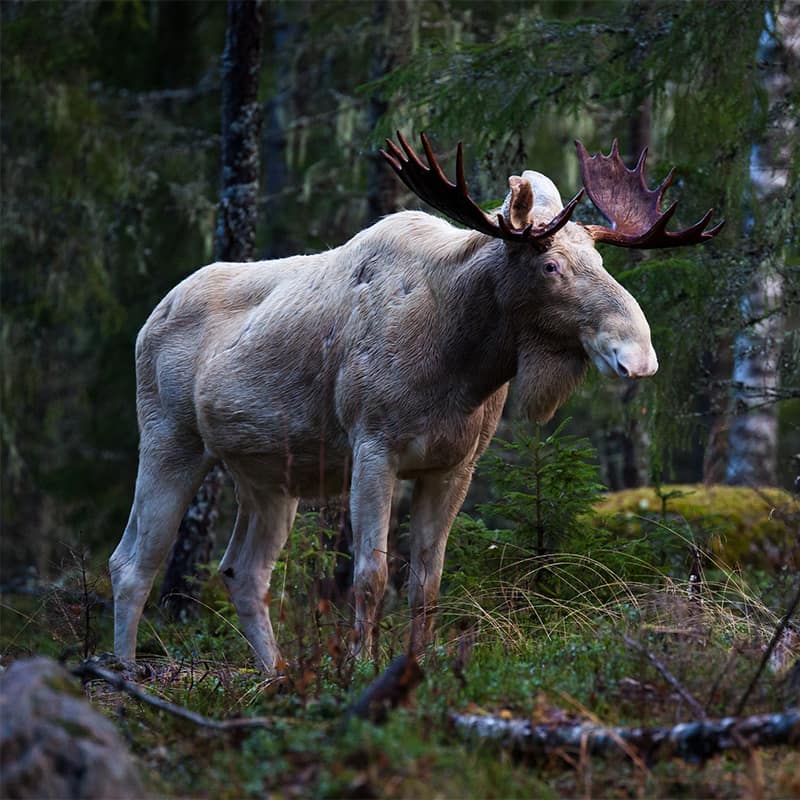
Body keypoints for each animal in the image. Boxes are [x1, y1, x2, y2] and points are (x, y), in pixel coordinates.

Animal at [109, 134, 720, 672]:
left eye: (602, 264)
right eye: (551, 266)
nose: (639, 355)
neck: (458, 365)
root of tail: (146, 324)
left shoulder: (453, 465)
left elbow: (426, 582)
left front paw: (413, 665)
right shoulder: (373, 446)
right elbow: (370, 578)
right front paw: (359, 667)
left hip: (268, 477)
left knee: (242, 572)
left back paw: (275, 674)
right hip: (170, 440)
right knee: (131, 564)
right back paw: (125, 673)